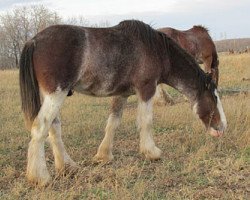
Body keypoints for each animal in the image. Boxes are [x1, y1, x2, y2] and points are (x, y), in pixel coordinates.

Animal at [19, 20, 227, 186]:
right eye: (215, 97)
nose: (222, 127)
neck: (157, 50)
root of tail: (34, 40)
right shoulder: (146, 89)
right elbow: (146, 122)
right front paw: (152, 152)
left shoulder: (122, 94)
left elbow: (113, 123)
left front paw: (104, 155)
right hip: (56, 94)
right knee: (40, 128)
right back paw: (40, 177)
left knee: (54, 128)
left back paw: (67, 167)